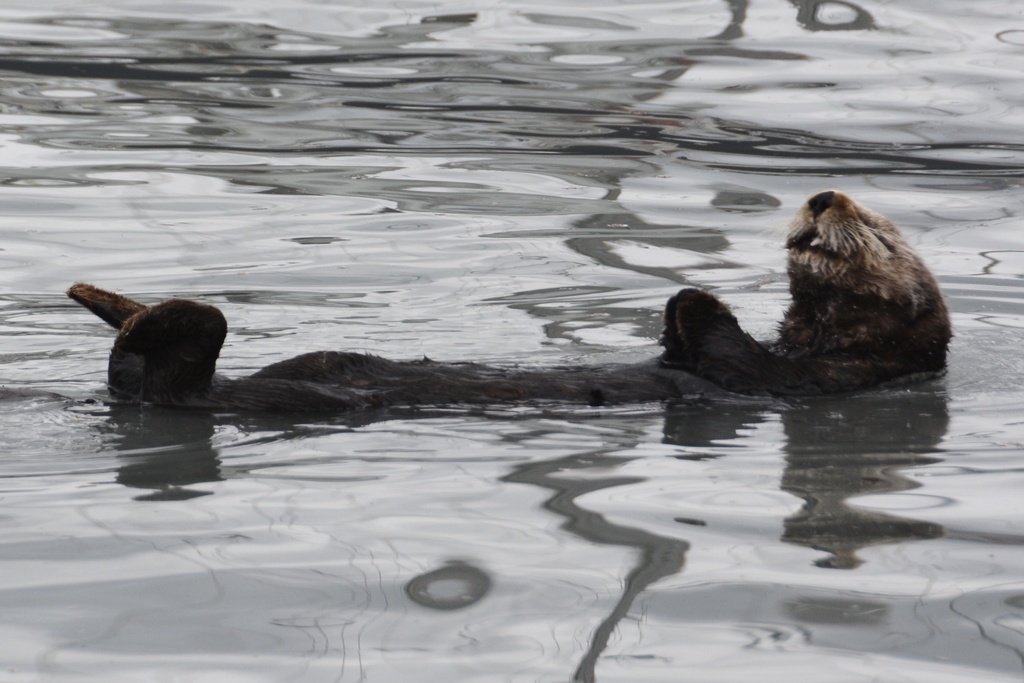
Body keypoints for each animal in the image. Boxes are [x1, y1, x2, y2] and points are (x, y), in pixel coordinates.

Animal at [68, 190, 950, 412]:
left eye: (878, 230)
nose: (824, 197)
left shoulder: (803, 381)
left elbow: (726, 351)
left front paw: (695, 299)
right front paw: (673, 309)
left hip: (213, 385)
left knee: (167, 365)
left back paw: (128, 308)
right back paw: (103, 295)